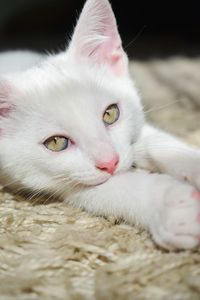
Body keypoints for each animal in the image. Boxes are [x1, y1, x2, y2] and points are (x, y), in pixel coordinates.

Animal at [0, 0, 200, 250]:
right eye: (56, 143)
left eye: (110, 114)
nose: (110, 162)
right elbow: (110, 189)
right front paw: (169, 205)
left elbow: (158, 143)